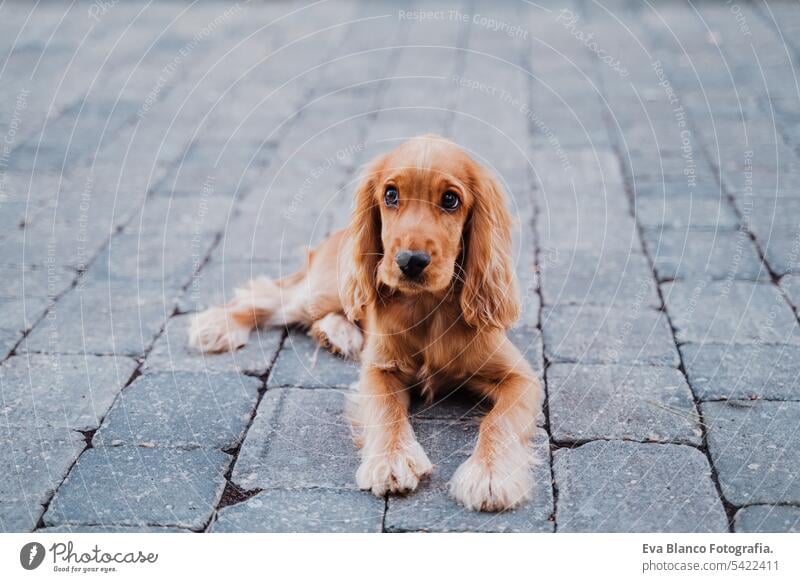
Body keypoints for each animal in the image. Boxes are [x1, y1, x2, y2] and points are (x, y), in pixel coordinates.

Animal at [191, 135, 548, 512]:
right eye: (390, 195)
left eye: (451, 199)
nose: (410, 261)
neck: (427, 307)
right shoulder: (379, 369)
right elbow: (386, 410)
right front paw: (391, 460)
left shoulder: (520, 378)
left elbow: (499, 420)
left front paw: (490, 474)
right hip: (324, 288)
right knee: (270, 296)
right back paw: (217, 325)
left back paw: (336, 333)